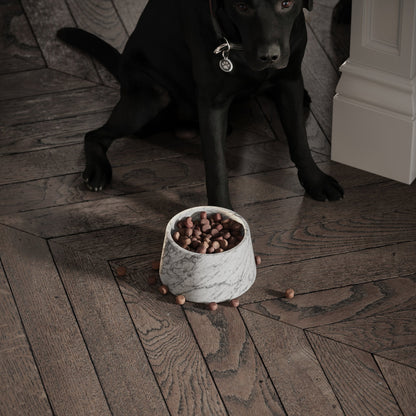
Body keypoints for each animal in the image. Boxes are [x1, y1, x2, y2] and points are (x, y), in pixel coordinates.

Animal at [59, 0, 344, 208]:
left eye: (286, 3)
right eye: (242, 7)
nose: (269, 57)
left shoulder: (290, 81)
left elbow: (300, 141)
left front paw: (316, 181)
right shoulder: (212, 104)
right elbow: (216, 167)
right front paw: (223, 213)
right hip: (151, 97)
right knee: (94, 135)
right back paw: (97, 169)